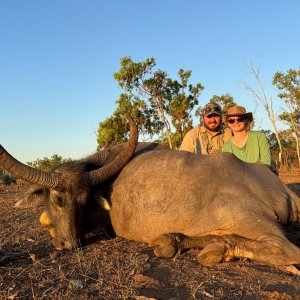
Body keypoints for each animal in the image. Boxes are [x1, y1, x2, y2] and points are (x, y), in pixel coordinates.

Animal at [1, 118, 300, 274]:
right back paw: (178, 241)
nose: (69, 244)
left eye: (82, 201)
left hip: (249, 219)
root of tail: (279, 186)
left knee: (286, 249)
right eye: (58, 198)